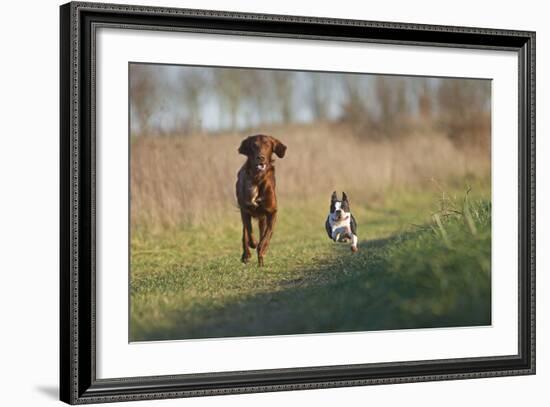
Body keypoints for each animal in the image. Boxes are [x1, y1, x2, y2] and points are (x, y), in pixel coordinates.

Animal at [237, 135, 288, 268]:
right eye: (254, 145)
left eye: (268, 145)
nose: (261, 157)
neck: (257, 178)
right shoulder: (245, 209)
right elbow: (249, 232)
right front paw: (253, 244)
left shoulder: (272, 212)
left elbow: (267, 235)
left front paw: (262, 249)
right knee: (245, 232)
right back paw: (246, 254)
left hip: (262, 217)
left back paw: (260, 260)